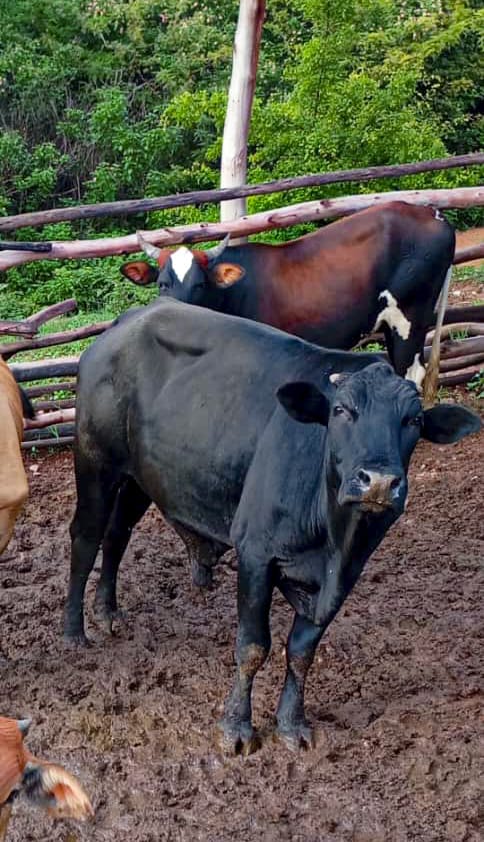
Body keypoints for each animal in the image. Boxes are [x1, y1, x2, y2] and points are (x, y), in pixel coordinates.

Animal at [64, 298, 479, 754]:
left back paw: (108, 611)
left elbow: (301, 652)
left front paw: (291, 723)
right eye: (341, 410)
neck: (334, 540)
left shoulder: (343, 579)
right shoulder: (256, 555)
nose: (379, 481)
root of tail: (128, 321)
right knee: (85, 536)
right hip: (95, 463)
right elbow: (252, 647)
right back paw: (74, 632)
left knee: (116, 534)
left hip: (139, 477)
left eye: (414, 421)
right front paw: (236, 727)